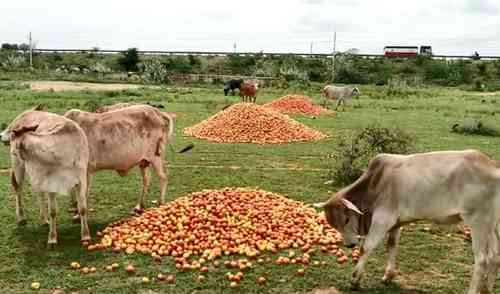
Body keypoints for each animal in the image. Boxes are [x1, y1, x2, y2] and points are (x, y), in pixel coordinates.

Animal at [0, 104, 91, 247]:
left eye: (14, 136)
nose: (3, 137)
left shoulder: (81, 179)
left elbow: (82, 208)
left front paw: (85, 236)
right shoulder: (51, 183)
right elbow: (53, 211)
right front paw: (52, 238)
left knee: (39, 193)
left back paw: (43, 220)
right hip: (18, 167)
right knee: (18, 189)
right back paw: (21, 218)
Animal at [314, 150, 500, 292]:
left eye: (346, 219)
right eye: (333, 224)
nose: (349, 244)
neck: (376, 182)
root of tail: (492, 164)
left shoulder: (383, 219)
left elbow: (366, 247)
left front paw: (355, 279)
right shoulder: (396, 223)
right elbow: (392, 244)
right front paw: (388, 275)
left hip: (478, 222)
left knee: (482, 259)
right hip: (492, 226)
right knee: (495, 255)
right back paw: (487, 289)